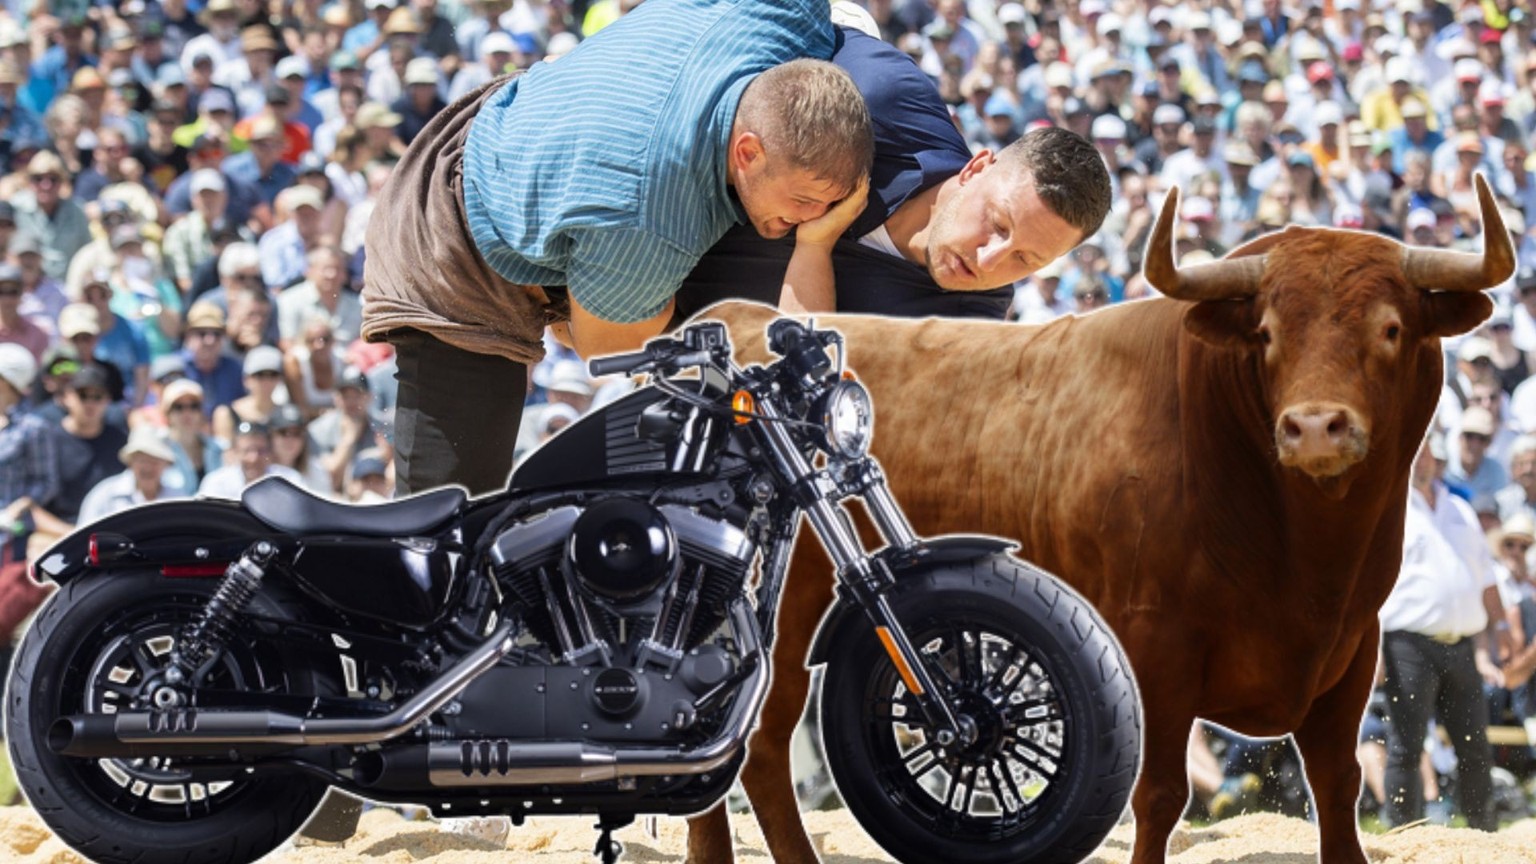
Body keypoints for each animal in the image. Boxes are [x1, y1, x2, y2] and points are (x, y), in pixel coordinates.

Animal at [681, 176, 1511, 860]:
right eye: (1268, 332)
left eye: (1391, 330)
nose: (1315, 428)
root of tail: (734, 318)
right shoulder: (1156, 646)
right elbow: (1161, 792)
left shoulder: (1352, 649)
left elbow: (1336, 786)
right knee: (749, 744)